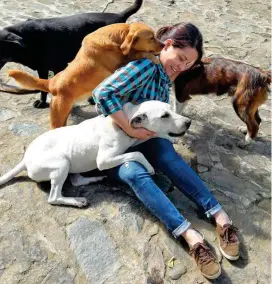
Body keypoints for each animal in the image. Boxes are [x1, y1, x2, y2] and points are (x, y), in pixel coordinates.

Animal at [0, 0, 143, 108]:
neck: (27, 41)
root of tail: (120, 16)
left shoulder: (58, 67)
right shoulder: (43, 68)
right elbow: (43, 88)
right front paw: (43, 101)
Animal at [0, 101, 191, 207]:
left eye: (171, 109)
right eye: (164, 115)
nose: (189, 122)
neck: (122, 124)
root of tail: (25, 159)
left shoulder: (137, 137)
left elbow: (151, 137)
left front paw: (171, 138)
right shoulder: (104, 160)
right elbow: (137, 153)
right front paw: (149, 167)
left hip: (71, 163)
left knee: (76, 180)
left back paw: (94, 179)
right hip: (61, 163)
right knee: (54, 197)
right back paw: (76, 201)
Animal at [7, 22, 164, 129]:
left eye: (155, 36)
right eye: (151, 38)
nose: (163, 45)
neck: (118, 37)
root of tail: (52, 83)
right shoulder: (118, 64)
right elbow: (138, 53)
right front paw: (153, 57)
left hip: (65, 114)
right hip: (57, 116)